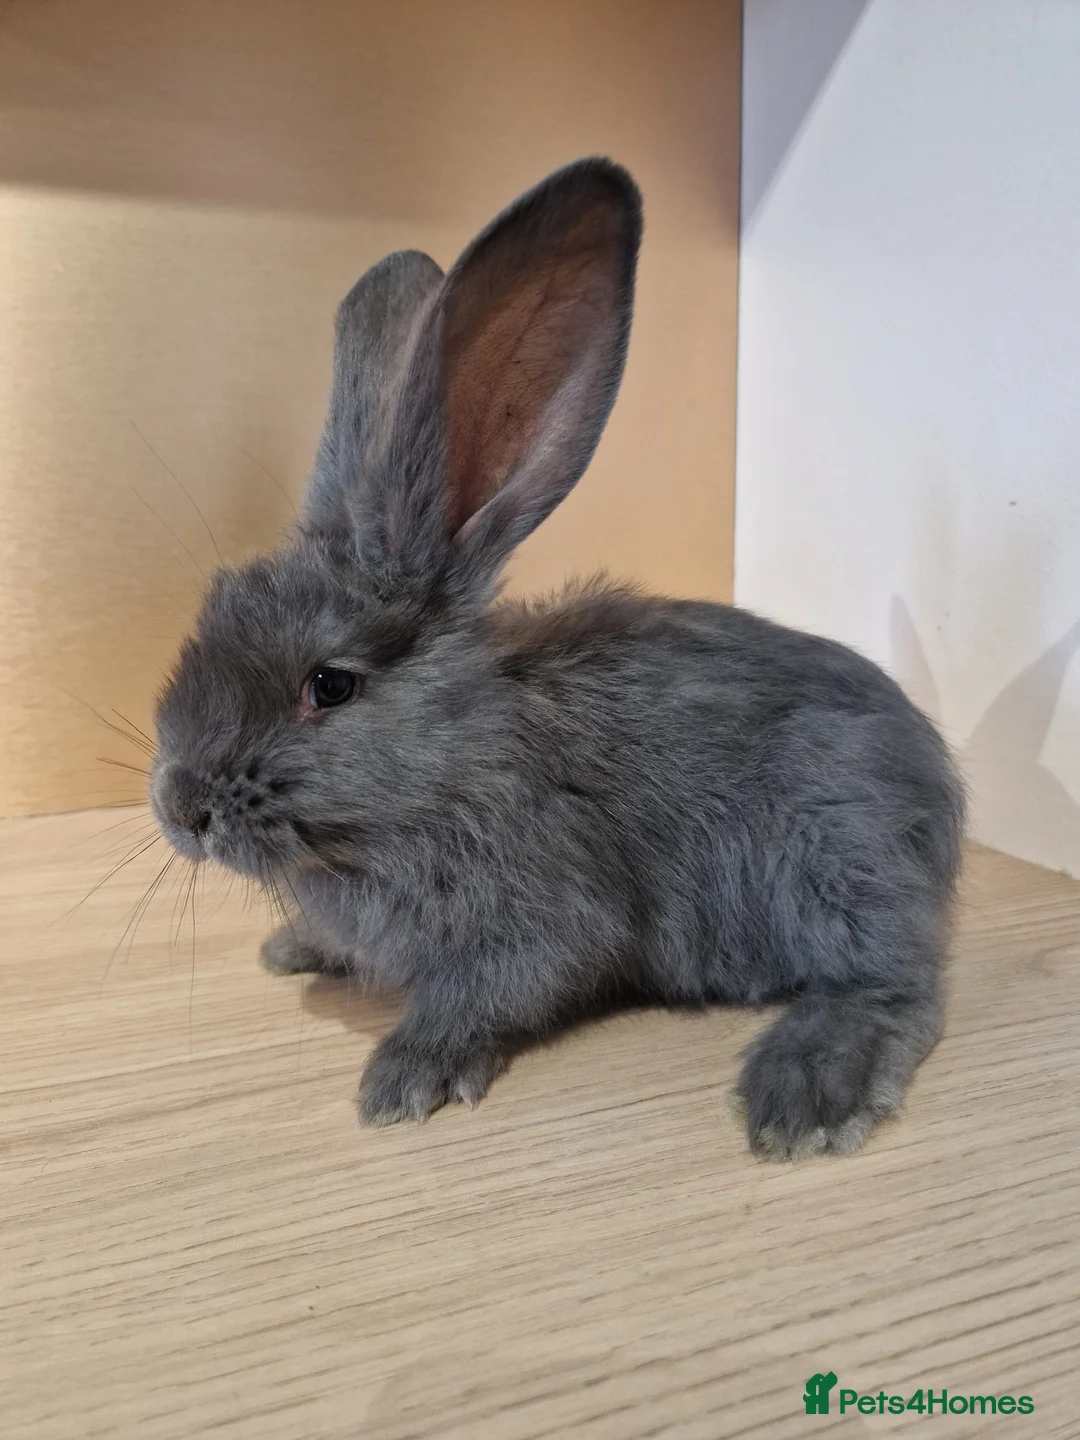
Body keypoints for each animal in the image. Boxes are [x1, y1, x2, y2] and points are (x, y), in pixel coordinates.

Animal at [150, 158, 966, 1160]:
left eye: (329, 686)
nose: (177, 807)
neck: (457, 758)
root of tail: (935, 783)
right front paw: (296, 949)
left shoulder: (539, 918)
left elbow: (485, 995)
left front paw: (400, 1079)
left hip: (834, 859)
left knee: (896, 982)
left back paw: (804, 1096)